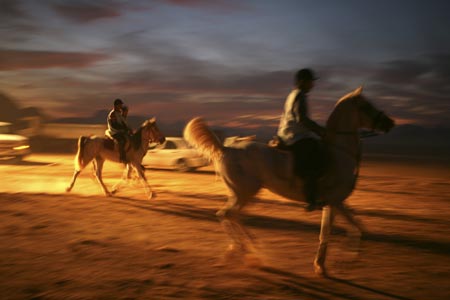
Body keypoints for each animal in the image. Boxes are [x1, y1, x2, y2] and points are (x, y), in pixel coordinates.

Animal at [183, 86, 394, 276]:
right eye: (366, 106)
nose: (390, 123)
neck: (339, 153)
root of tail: (226, 149)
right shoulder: (335, 201)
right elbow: (348, 229)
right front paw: (341, 260)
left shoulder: (333, 203)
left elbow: (345, 229)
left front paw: (326, 263)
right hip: (245, 194)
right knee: (228, 215)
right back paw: (245, 251)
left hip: (241, 194)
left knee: (230, 216)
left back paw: (248, 248)